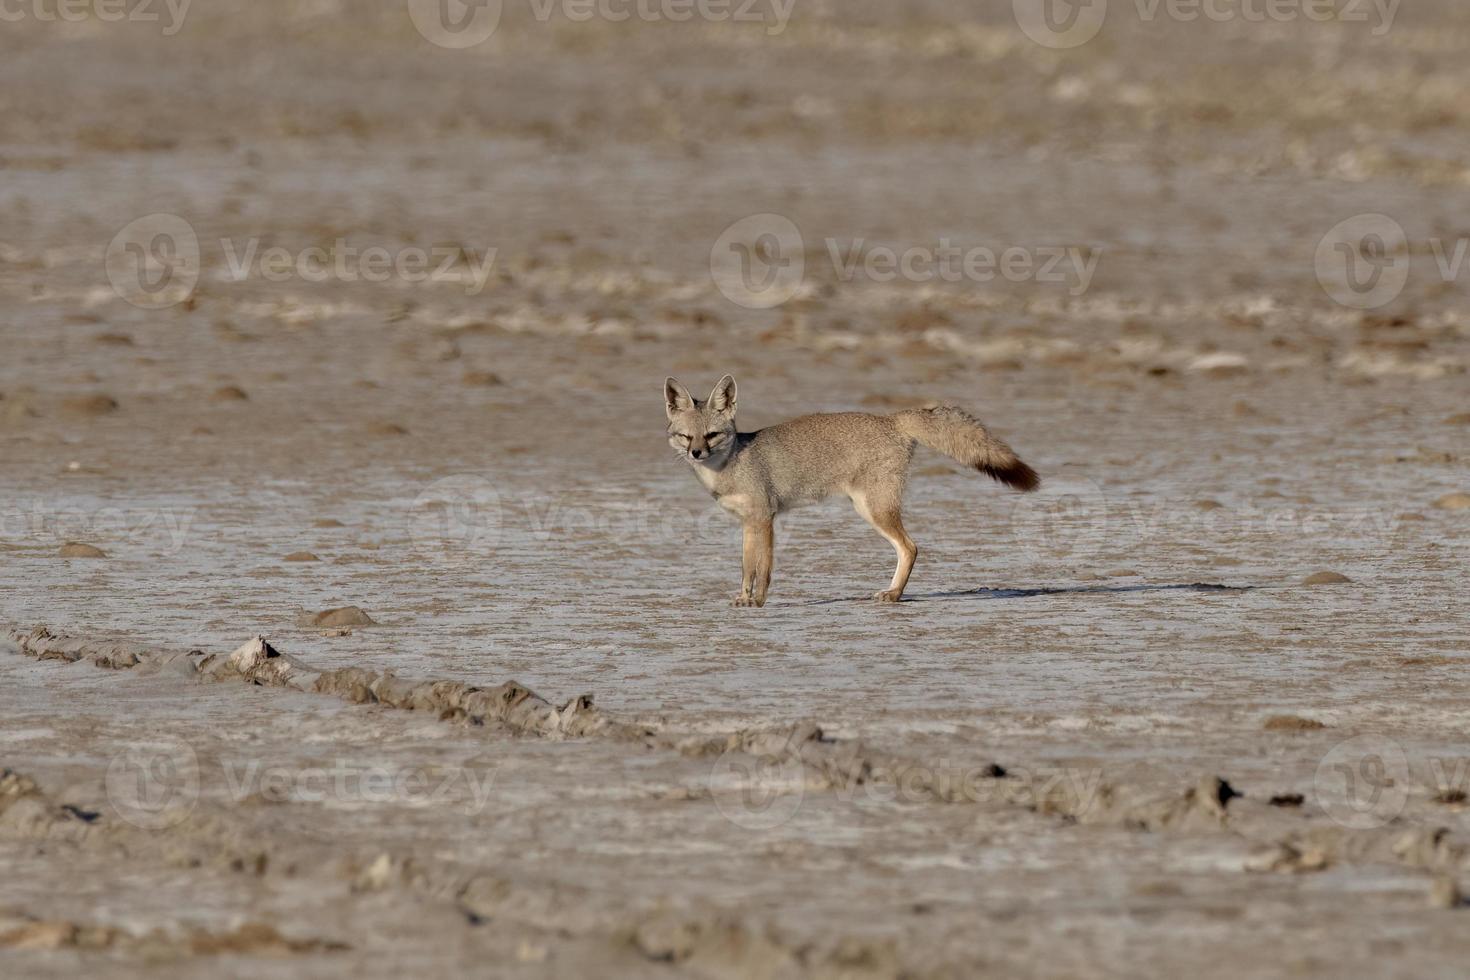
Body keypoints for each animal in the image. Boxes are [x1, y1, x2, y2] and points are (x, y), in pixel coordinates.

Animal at [667, 376, 1034, 605]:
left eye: (712, 435)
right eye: (686, 437)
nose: (696, 453)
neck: (730, 466)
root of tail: (891, 419)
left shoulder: (765, 518)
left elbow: (764, 568)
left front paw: (758, 601)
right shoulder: (747, 523)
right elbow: (746, 568)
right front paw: (744, 598)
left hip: (872, 509)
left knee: (911, 547)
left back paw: (894, 594)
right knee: (908, 548)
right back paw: (894, 593)